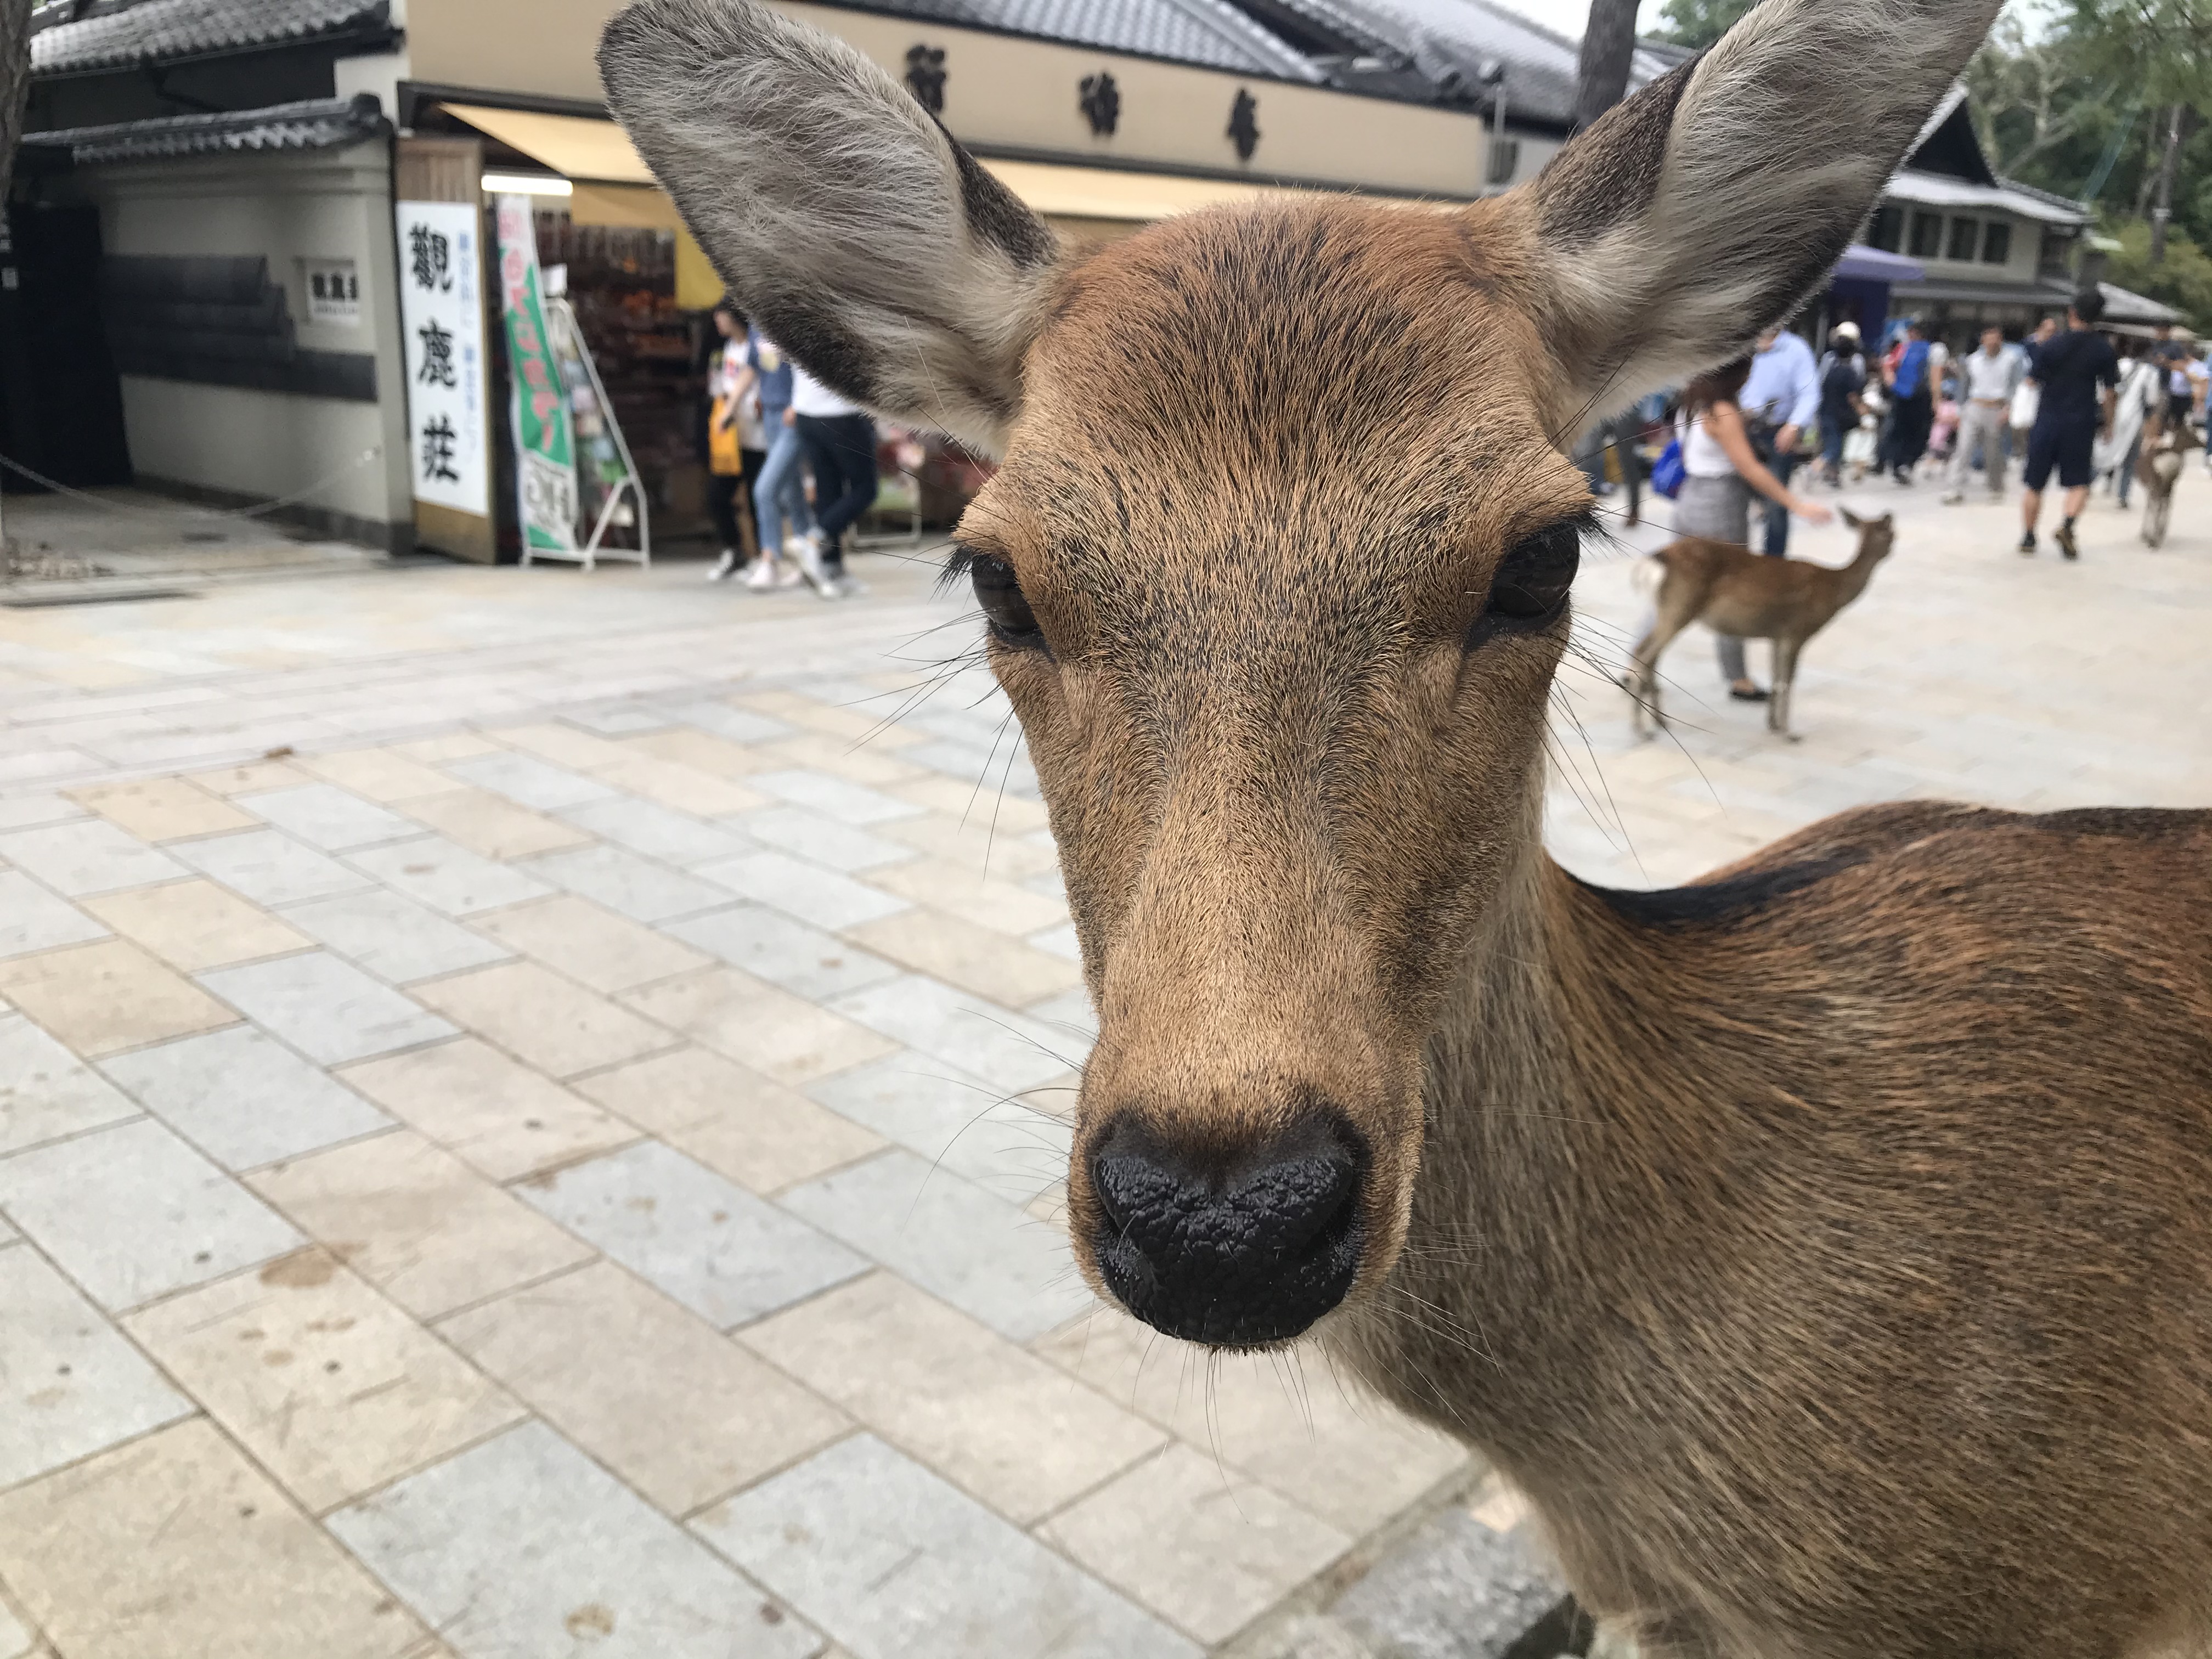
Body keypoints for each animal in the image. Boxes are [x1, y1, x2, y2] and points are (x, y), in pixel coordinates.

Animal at [1628, 506, 1902, 738]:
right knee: (1644, 655)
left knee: (1647, 654)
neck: (1834, 590)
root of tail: (1655, 560)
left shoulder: (1777, 635)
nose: (1893, 550)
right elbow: (1788, 680)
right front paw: (1790, 732)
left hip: (1667, 610)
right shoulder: (1797, 631)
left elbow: (1775, 677)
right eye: (1892, 535)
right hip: (1680, 606)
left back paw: (1660, 721)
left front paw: (1772, 725)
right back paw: (1642, 729)